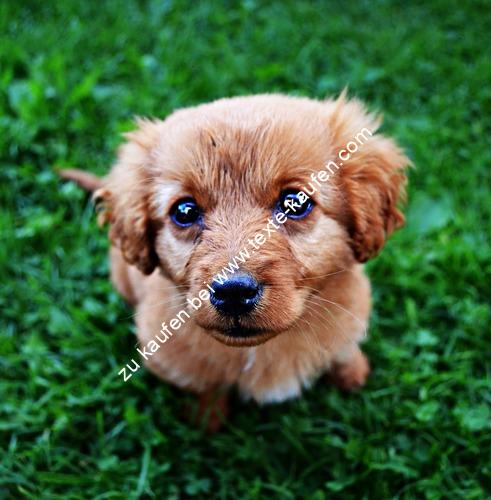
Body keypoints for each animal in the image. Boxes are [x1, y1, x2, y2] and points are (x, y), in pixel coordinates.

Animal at [59, 93, 410, 430]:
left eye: (296, 203)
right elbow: (206, 386)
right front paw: (207, 419)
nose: (233, 292)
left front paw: (352, 373)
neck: (261, 349)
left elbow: (344, 349)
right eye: (184, 211)